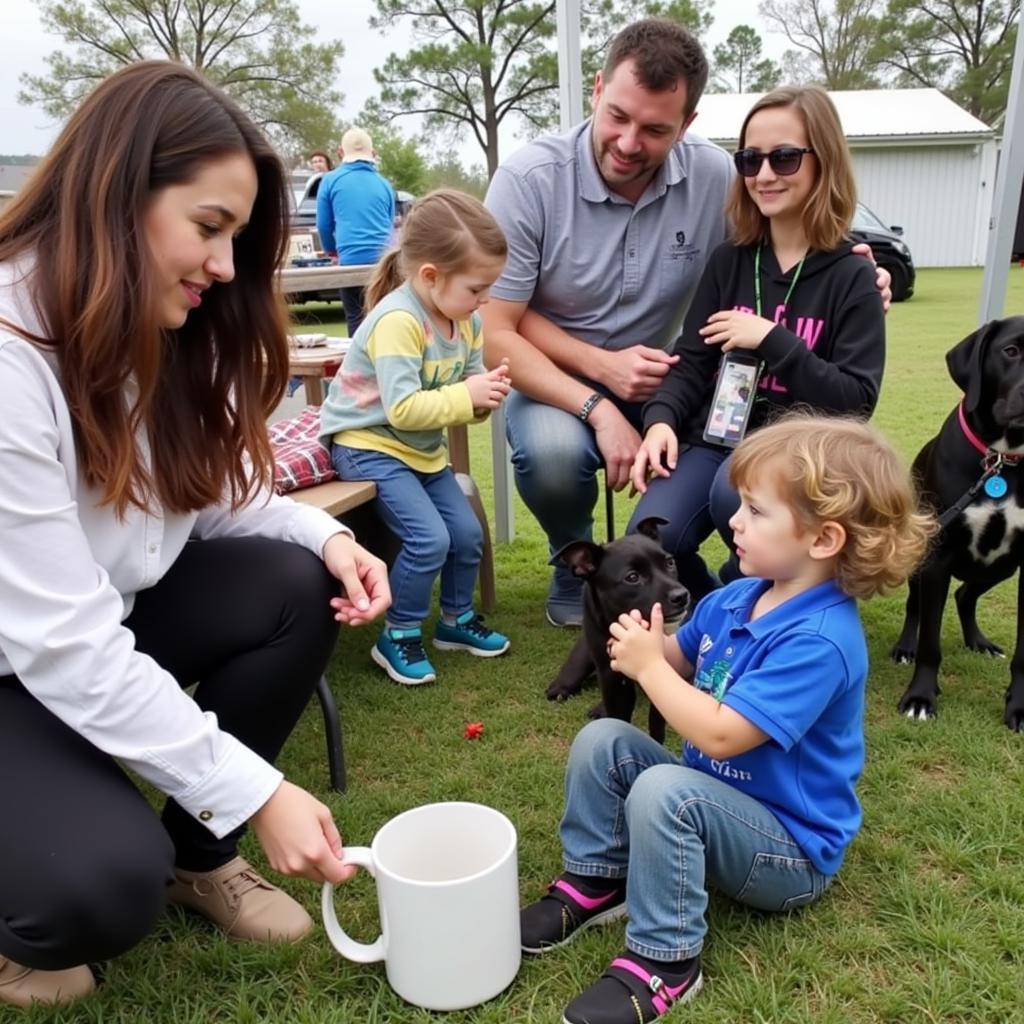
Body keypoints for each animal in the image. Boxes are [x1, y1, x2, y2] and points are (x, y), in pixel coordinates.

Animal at [544, 516, 688, 741]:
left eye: (670, 562)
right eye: (632, 577)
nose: (681, 596)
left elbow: (656, 721)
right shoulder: (610, 675)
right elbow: (616, 713)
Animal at [888, 315, 1024, 733]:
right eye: (1010, 351)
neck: (1003, 462)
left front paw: (1019, 708)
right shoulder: (938, 558)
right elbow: (930, 641)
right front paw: (920, 697)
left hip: (1002, 566)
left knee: (966, 595)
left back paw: (979, 641)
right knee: (916, 606)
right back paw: (905, 646)